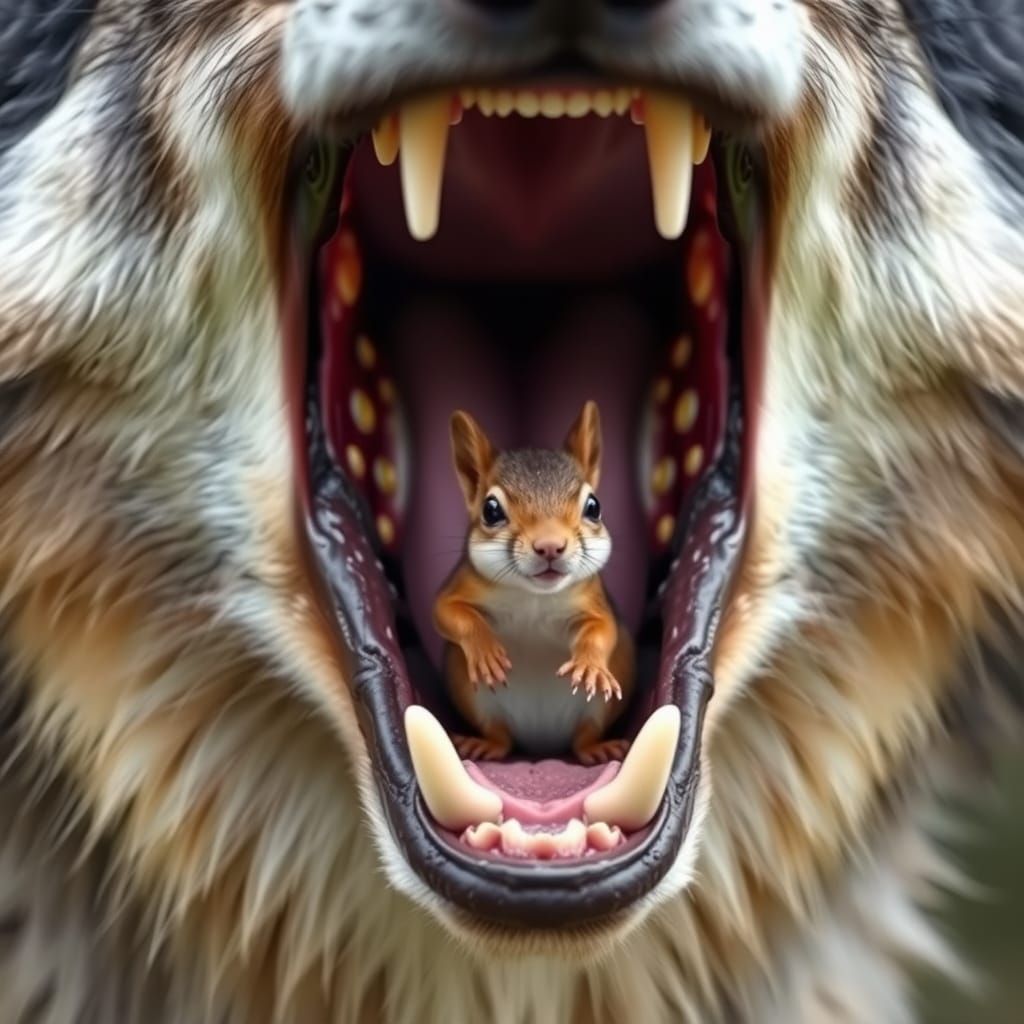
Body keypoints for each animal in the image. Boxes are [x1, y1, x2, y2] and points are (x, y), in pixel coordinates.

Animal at [434, 401, 634, 766]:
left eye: (594, 506)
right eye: (491, 510)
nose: (550, 546)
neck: (534, 597)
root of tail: (542, 746)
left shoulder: (593, 600)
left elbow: (603, 629)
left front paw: (589, 662)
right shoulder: (462, 582)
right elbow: (448, 612)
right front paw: (485, 650)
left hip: (598, 709)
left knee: (583, 739)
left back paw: (598, 748)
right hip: (476, 698)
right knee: (500, 737)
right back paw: (483, 745)